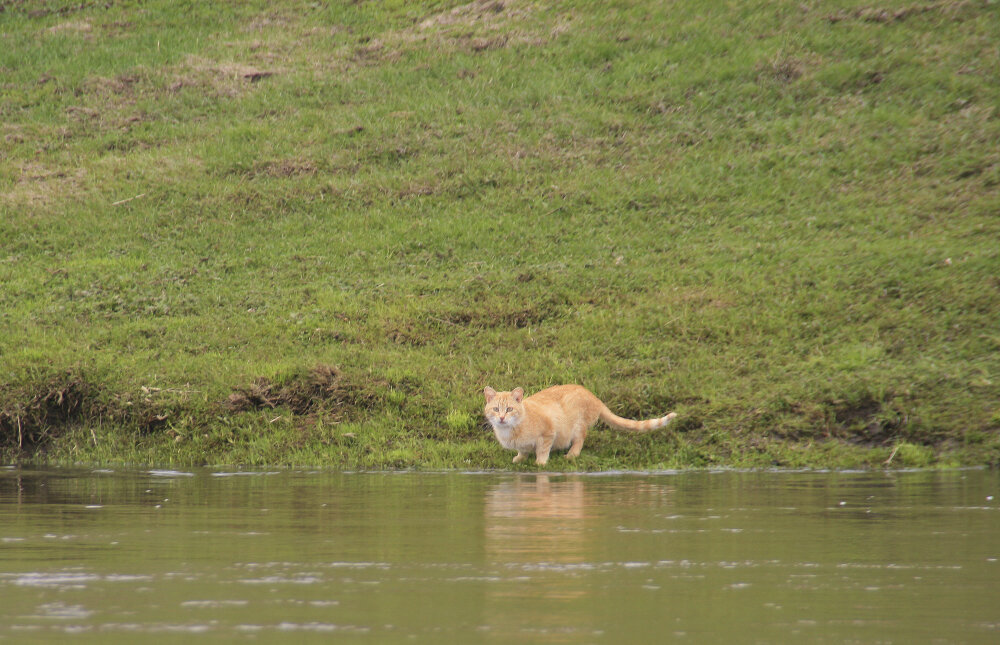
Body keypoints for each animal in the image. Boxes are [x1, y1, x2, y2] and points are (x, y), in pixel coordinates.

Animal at [480, 384, 676, 466]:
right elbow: (522, 450)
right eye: (496, 409)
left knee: (580, 438)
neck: (509, 431)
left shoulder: (549, 431)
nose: (502, 418)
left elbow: (543, 449)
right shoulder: (521, 444)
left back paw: (572, 454)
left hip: (578, 424)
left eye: (510, 409)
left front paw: (540, 462)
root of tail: (594, 397)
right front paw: (520, 458)